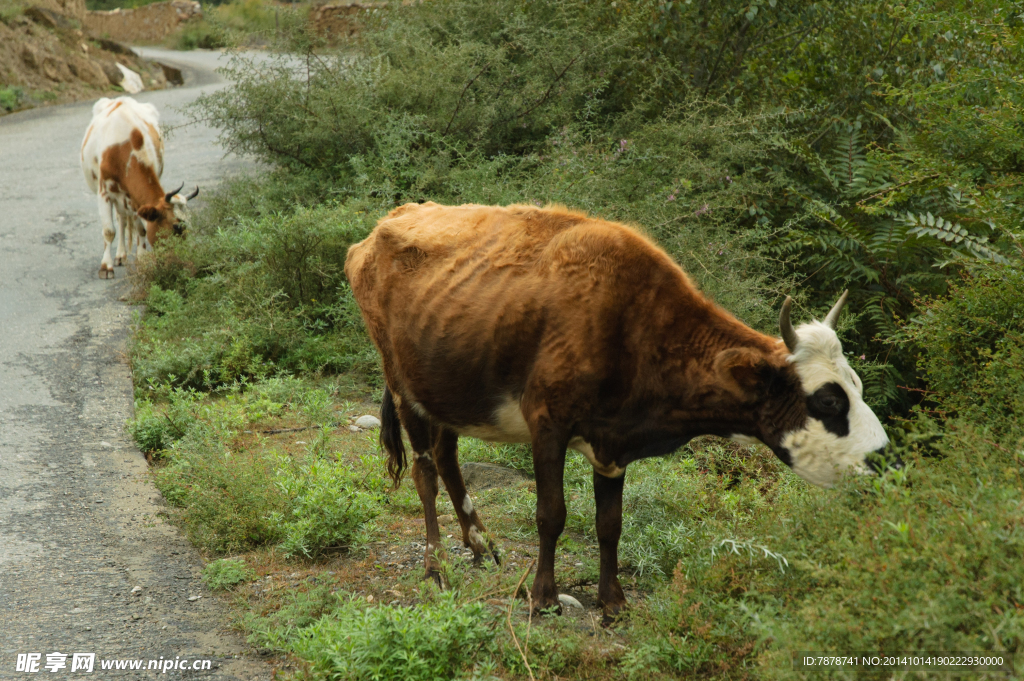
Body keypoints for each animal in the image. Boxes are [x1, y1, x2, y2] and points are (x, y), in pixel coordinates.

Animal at [80, 94, 197, 276]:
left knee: (123, 219)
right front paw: (106, 266)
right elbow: (109, 231)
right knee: (120, 221)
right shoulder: (104, 193)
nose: (187, 259)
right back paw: (120, 255)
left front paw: (142, 260)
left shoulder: (135, 199)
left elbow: (141, 228)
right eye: (177, 226)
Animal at [344, 200, 897, 622]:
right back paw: (436, 567)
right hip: (402, 384)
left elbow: (610, 523)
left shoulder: (611, 442)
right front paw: (543, 598)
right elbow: (552, 514)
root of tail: (381, 227)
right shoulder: (548, 422)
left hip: (449, 388)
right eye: (829, 399)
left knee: (447, 456)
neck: (632, 324)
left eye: (856, 385)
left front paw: (613, 603)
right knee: (425, 471)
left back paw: (480, 545)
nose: (884, 459)